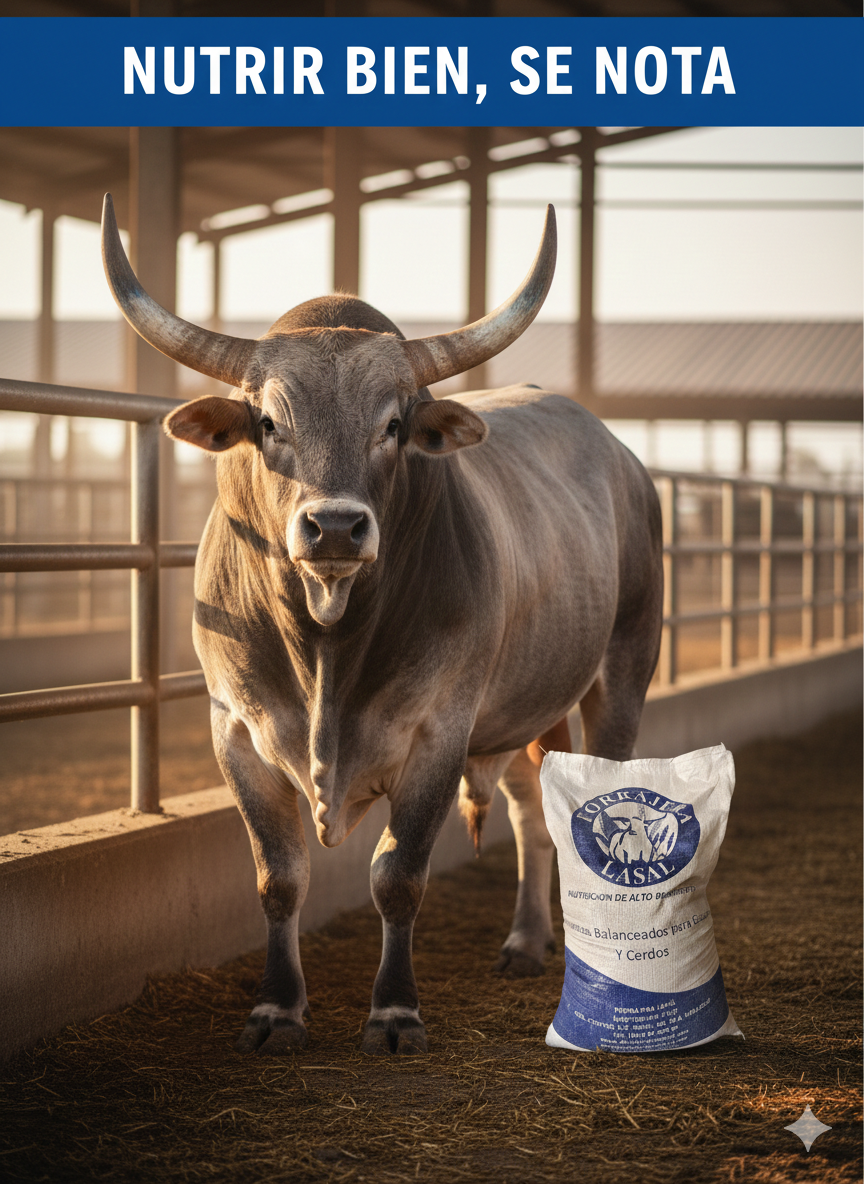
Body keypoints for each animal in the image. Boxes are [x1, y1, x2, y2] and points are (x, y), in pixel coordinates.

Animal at [101, 193, 663, 1056]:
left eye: (394, 425)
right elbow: (280, 877)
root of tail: (620, 456)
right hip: (524, 712)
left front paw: (395, 1012)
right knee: (532, 813)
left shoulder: (439, 731)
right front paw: (276, 1010)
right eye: (269, 423)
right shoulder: (236, 731)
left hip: (623, 669)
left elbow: (398, 877)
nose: (334, 528)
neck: (327, 645)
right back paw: (526, 942)